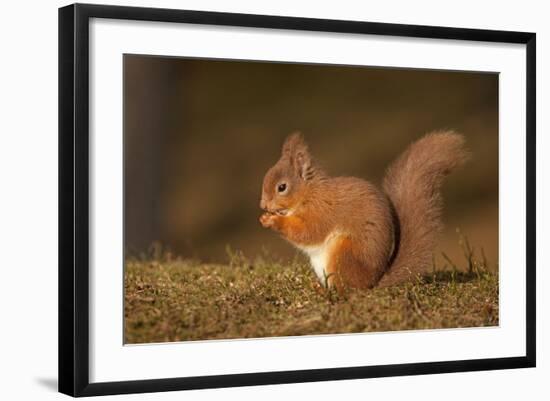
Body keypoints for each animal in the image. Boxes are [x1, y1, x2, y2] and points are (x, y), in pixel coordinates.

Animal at [260, 131, 468, 288]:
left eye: (282, 187)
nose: (263, 205)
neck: (309, 194)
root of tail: (372, 283)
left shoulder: (322, 212)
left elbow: (308, 232)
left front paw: (272, 220)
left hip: (344, 252)